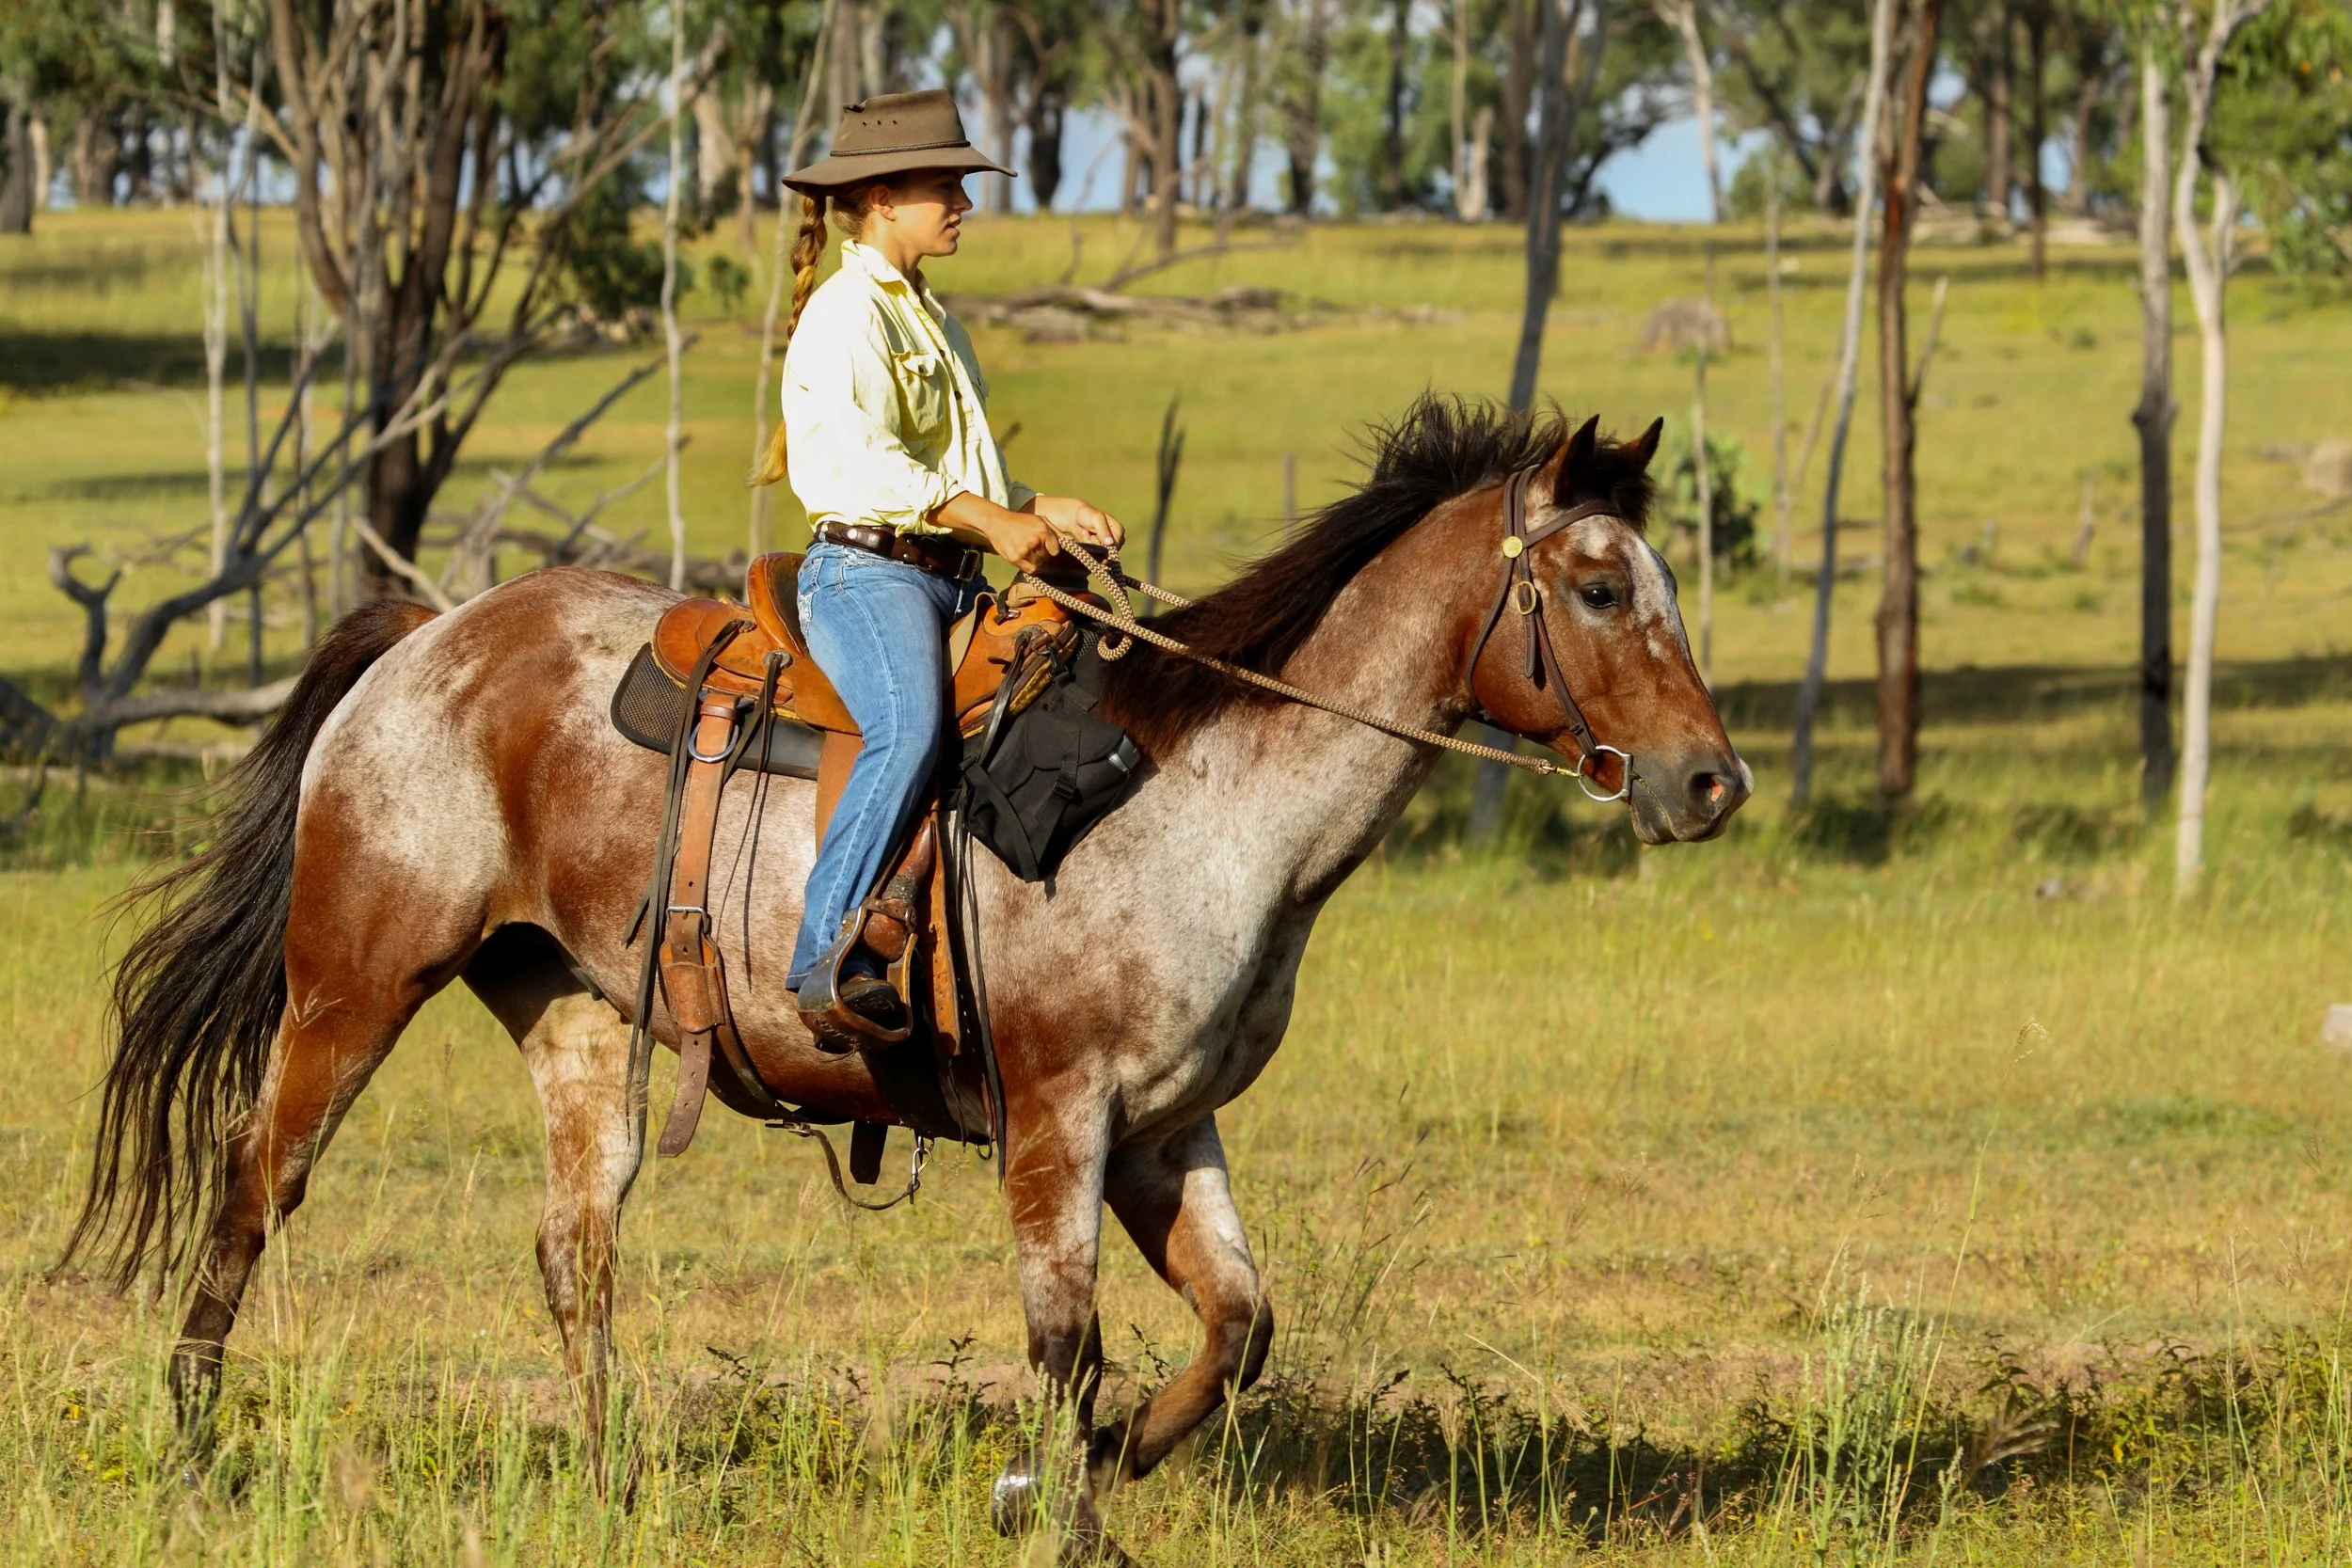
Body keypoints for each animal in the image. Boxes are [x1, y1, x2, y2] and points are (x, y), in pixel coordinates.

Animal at [66, 396, 1747, 1559]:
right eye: (1602, 590)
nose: (1710, 782)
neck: (1198, 794)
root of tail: (426, 640)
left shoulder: (1167, 1128)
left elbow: (1235, 1326)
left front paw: (1086, 1470)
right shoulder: (1060, 1120)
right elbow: (1067, 1338)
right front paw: (1059, 1511)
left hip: (576, 1014)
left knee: (572, 1246)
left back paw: (611, 1479)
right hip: (354, 982)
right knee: (256, 1176)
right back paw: (196, 1445)